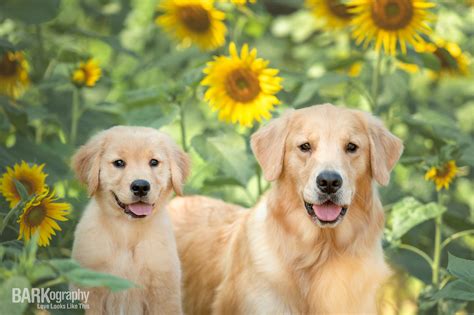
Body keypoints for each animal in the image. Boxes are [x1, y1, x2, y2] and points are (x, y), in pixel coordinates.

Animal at [70, 126, 189, 315]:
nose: (140, 186)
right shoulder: (89, 291)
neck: (127, 231)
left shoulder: (164, 294)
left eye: (154, 162)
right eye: (119, 163)